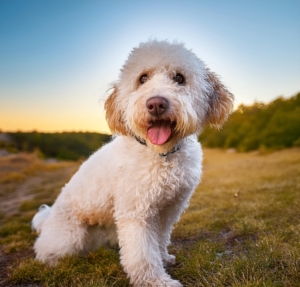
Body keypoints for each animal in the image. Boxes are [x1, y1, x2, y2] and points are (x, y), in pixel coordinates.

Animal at [32, 39, 234, 286]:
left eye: (179, 78)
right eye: (142, 78)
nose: (156, 104)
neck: (160, 155)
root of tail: (48, 218)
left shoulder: (168, 209)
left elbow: (159, 240)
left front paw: (163, 258)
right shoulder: (137, 213)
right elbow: (143, 254)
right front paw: (156, 281)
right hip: (70, 236)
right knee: (43, 249)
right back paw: (51, 259)